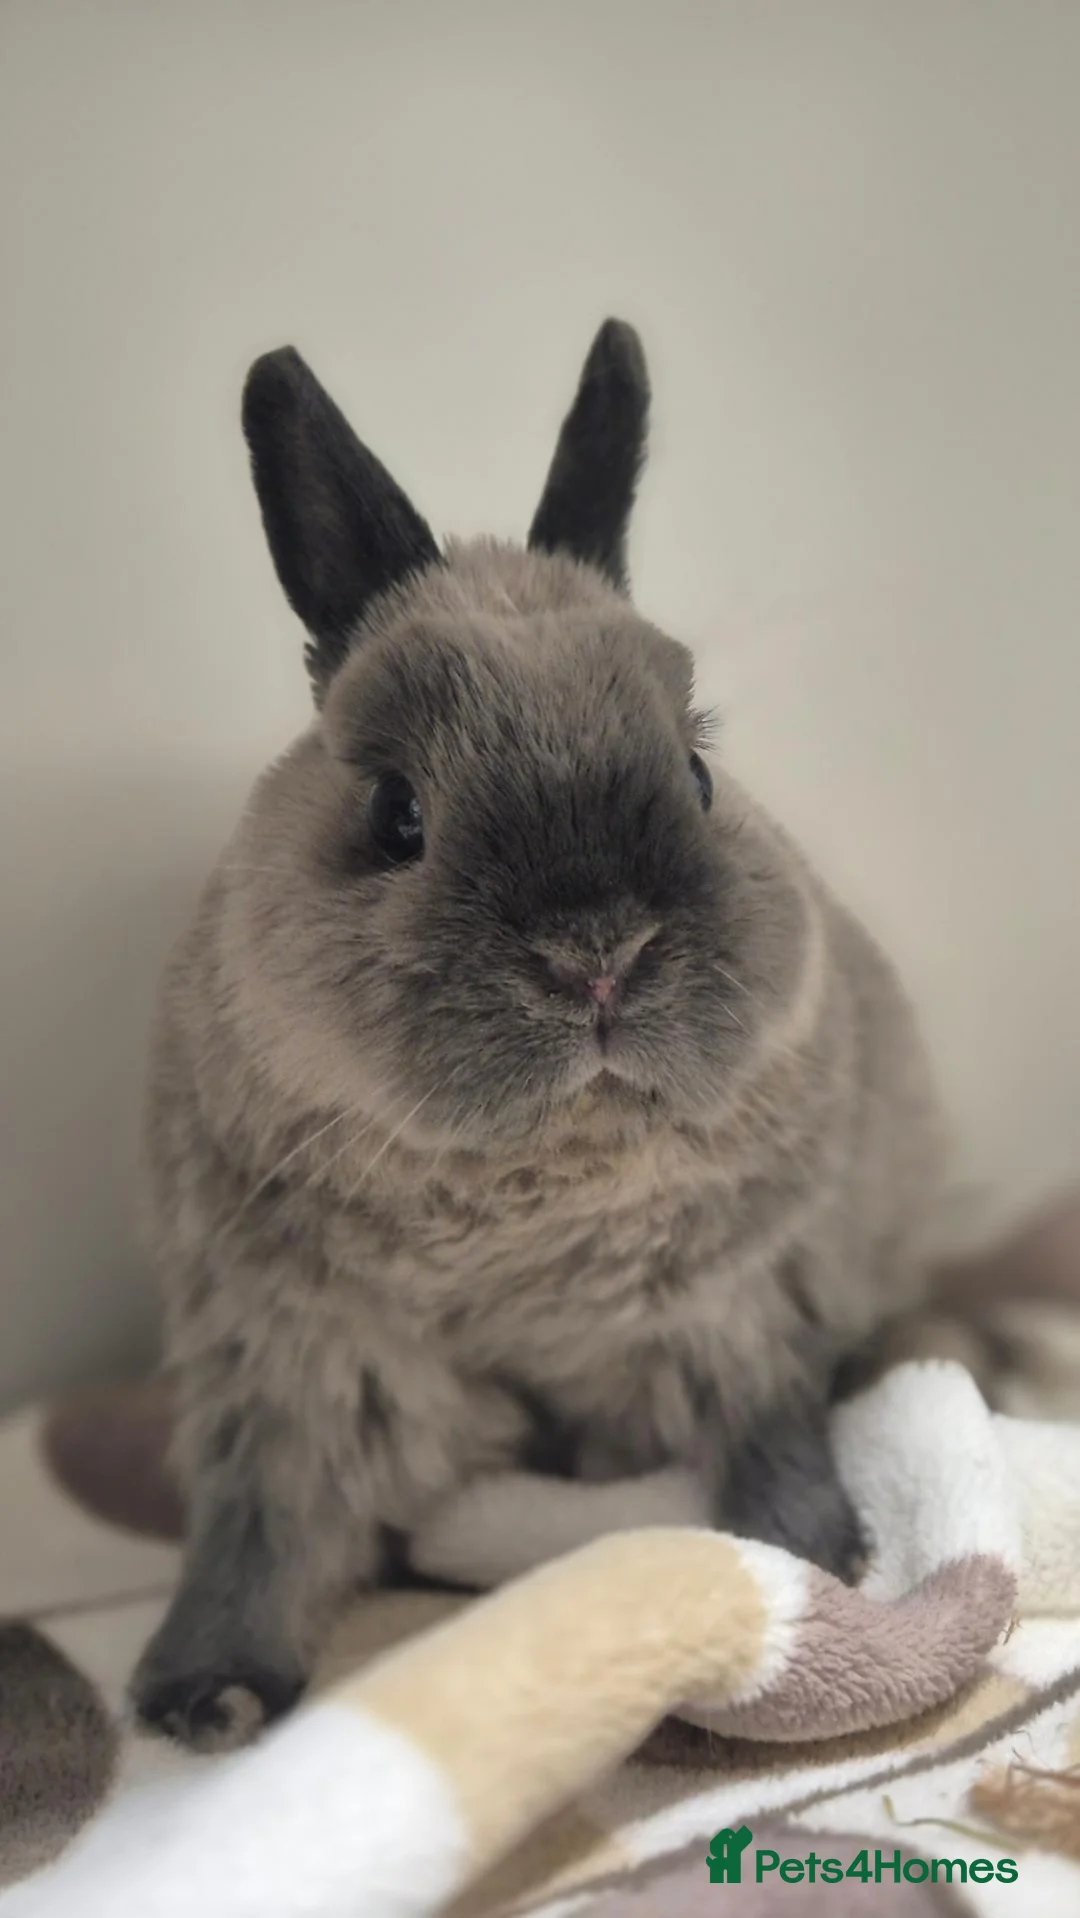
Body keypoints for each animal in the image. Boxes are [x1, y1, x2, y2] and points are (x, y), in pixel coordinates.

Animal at [130, 319, 944, 1751]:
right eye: (397, 813)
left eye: (697, 772)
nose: (598, 956)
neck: (528, 1183)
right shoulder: (292, 1371)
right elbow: (260, 1536)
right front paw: (203, 1696)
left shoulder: (745, 1313)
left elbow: (772, 1437)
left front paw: (820, 1562)